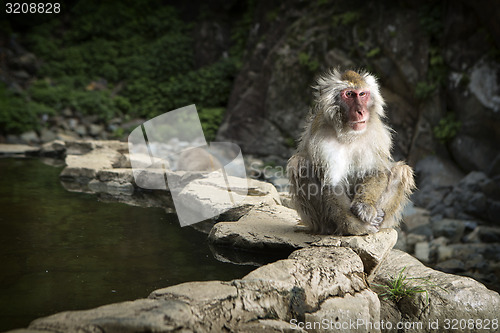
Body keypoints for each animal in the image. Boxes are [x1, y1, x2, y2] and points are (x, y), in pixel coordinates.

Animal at [288, 68, 416, 233]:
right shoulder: (321, 139)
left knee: (401, 170)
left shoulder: (377, 133)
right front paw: (356, 226)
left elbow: (376, 171)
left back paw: (380, 216)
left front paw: (365, 206)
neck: (349, 133)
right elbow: (332, 184)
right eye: (349, 94)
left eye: (362, 94)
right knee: (300, 164)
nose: (360, 111)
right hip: (316, 220)